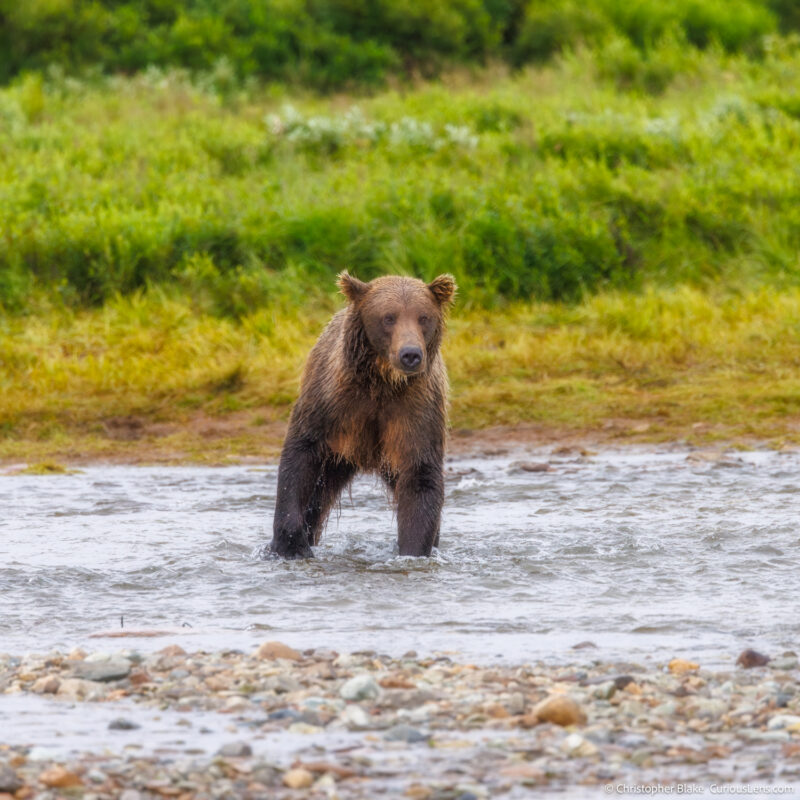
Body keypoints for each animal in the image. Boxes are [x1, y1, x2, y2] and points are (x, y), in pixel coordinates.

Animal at [270, 272, 454, 560]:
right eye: (388, 317)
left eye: (423, 317)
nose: (410, 354)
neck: (382, 383)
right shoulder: (331, 401)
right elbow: (300, 454)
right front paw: (291, 545)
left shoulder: (416, 409)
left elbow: (421, 476)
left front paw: (412, 552)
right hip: (335, 456)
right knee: (317, 499)